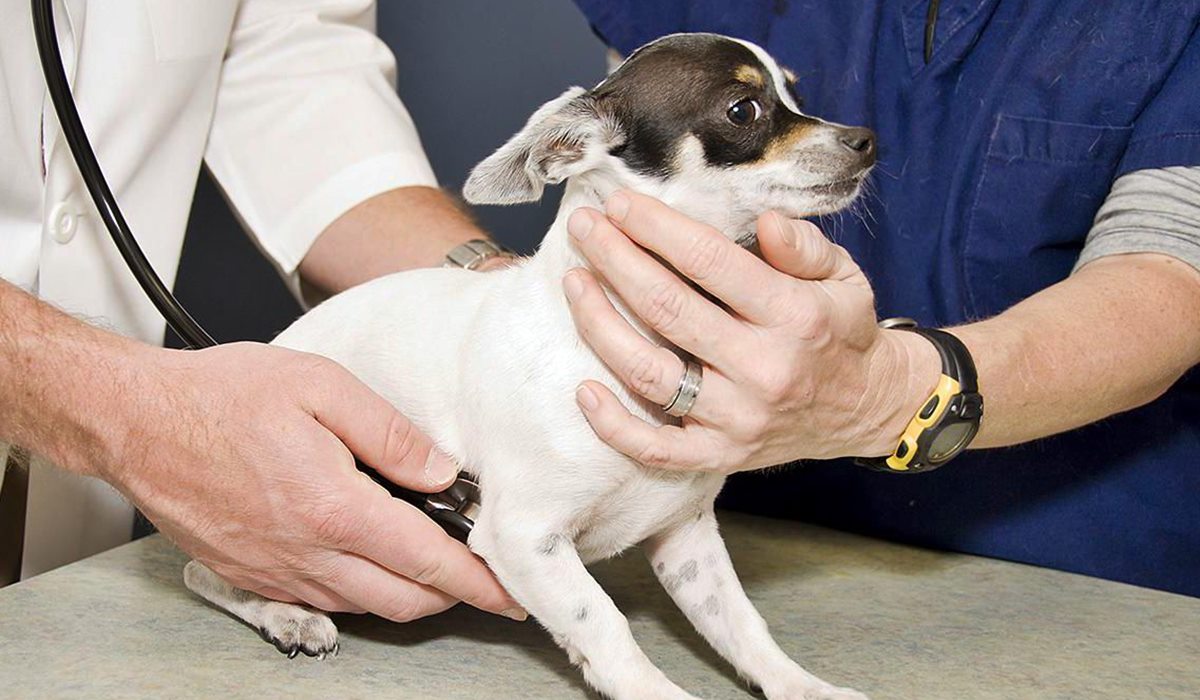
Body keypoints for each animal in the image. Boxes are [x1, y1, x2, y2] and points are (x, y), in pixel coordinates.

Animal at [189, 34, 883, 700]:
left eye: (797, 94)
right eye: (744, 110)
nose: (866, 140)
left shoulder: (688, 541)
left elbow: (743, 626)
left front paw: (805, 686)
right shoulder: (524, 538)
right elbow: (605, 622)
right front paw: (655, 690)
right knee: (205, 571)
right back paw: (288, 615)